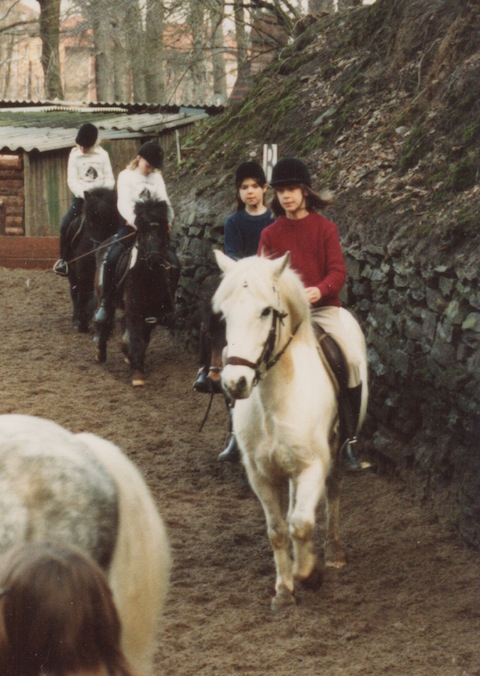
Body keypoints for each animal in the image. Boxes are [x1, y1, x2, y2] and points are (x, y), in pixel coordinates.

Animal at [64, 187, 120, 332]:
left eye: (113, 221)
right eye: (90, 222)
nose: (99, 249)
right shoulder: (82, 271)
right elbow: (82, 292)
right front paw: (81, 322)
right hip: (71, 270)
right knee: (75, 291)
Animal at [93, 198, 178, 386]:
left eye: (163, 233)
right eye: (144, 234)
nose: (154, 260)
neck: (149, 277)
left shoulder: (153, 312)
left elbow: (143, 338)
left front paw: (135, 361)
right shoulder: (134, 308)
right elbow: (137, 336)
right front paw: (138, 374)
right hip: (105, 296)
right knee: (105, 318)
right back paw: (100, 353)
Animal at [214, 251, 368, 608]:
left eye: (266, 311)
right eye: (225, 314)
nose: (235, 382)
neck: (274, 401)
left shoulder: (313, 466)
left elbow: (300, 524)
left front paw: (309, 574)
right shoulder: (261, 475)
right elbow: (278, 530)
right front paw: (284, 588)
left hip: (335, 453)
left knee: (332, 494)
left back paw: (333, 552)